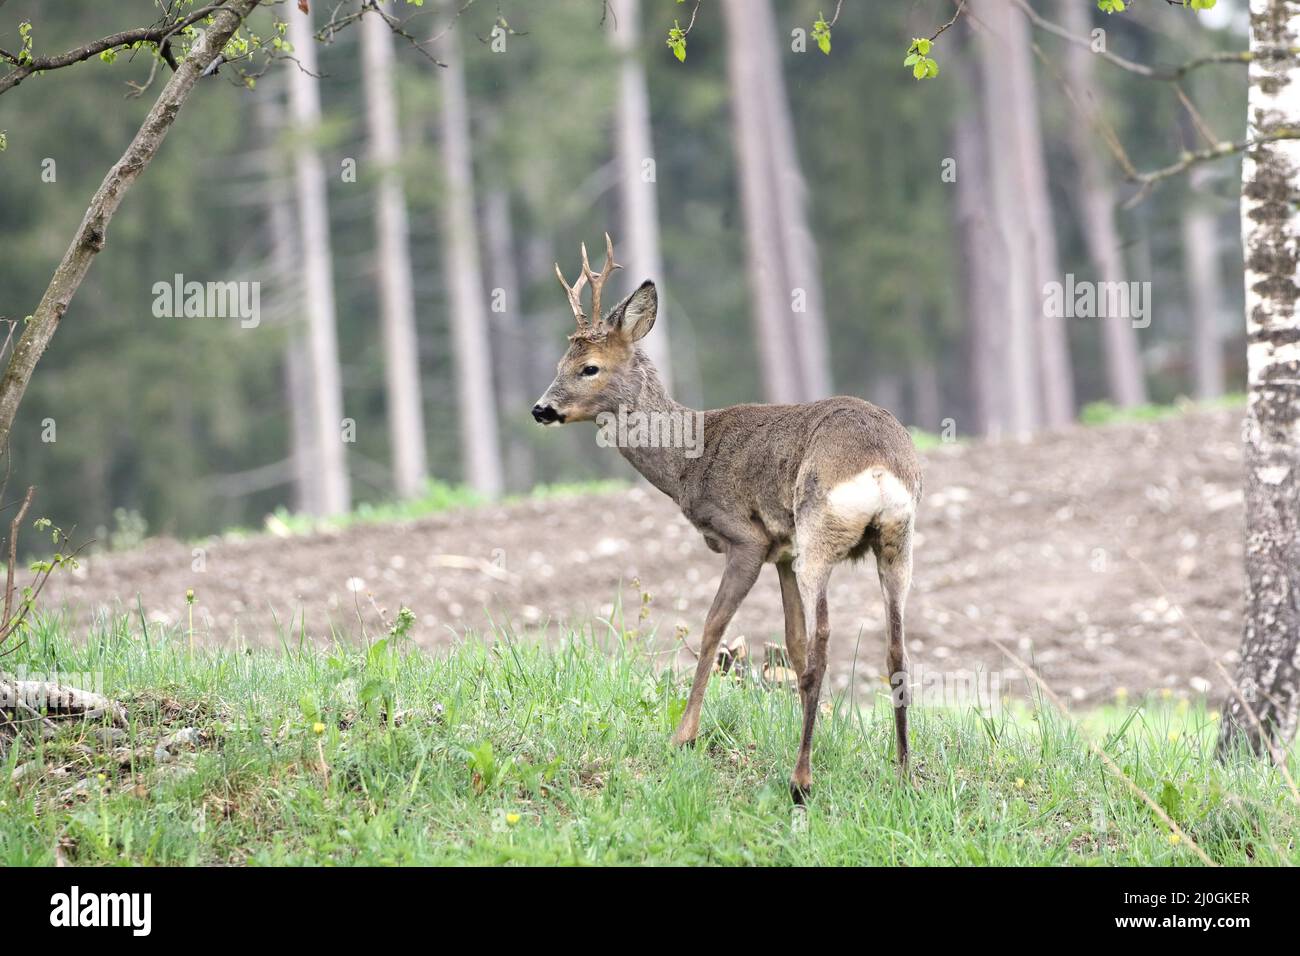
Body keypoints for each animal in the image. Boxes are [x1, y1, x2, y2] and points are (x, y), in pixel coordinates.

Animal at [530, 235, 925, 796]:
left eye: (590, 367)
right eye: (563, 360)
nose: (541, 409)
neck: (689, 460)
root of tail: (876, 467)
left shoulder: (747, 539)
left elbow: (714, 626)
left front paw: (683, 734)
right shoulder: (783, 550)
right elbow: (791, 641)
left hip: (821, 531)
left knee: (827, 644)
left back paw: (801, 778)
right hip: (897, 540)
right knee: (895, 649)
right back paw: (903, 770)